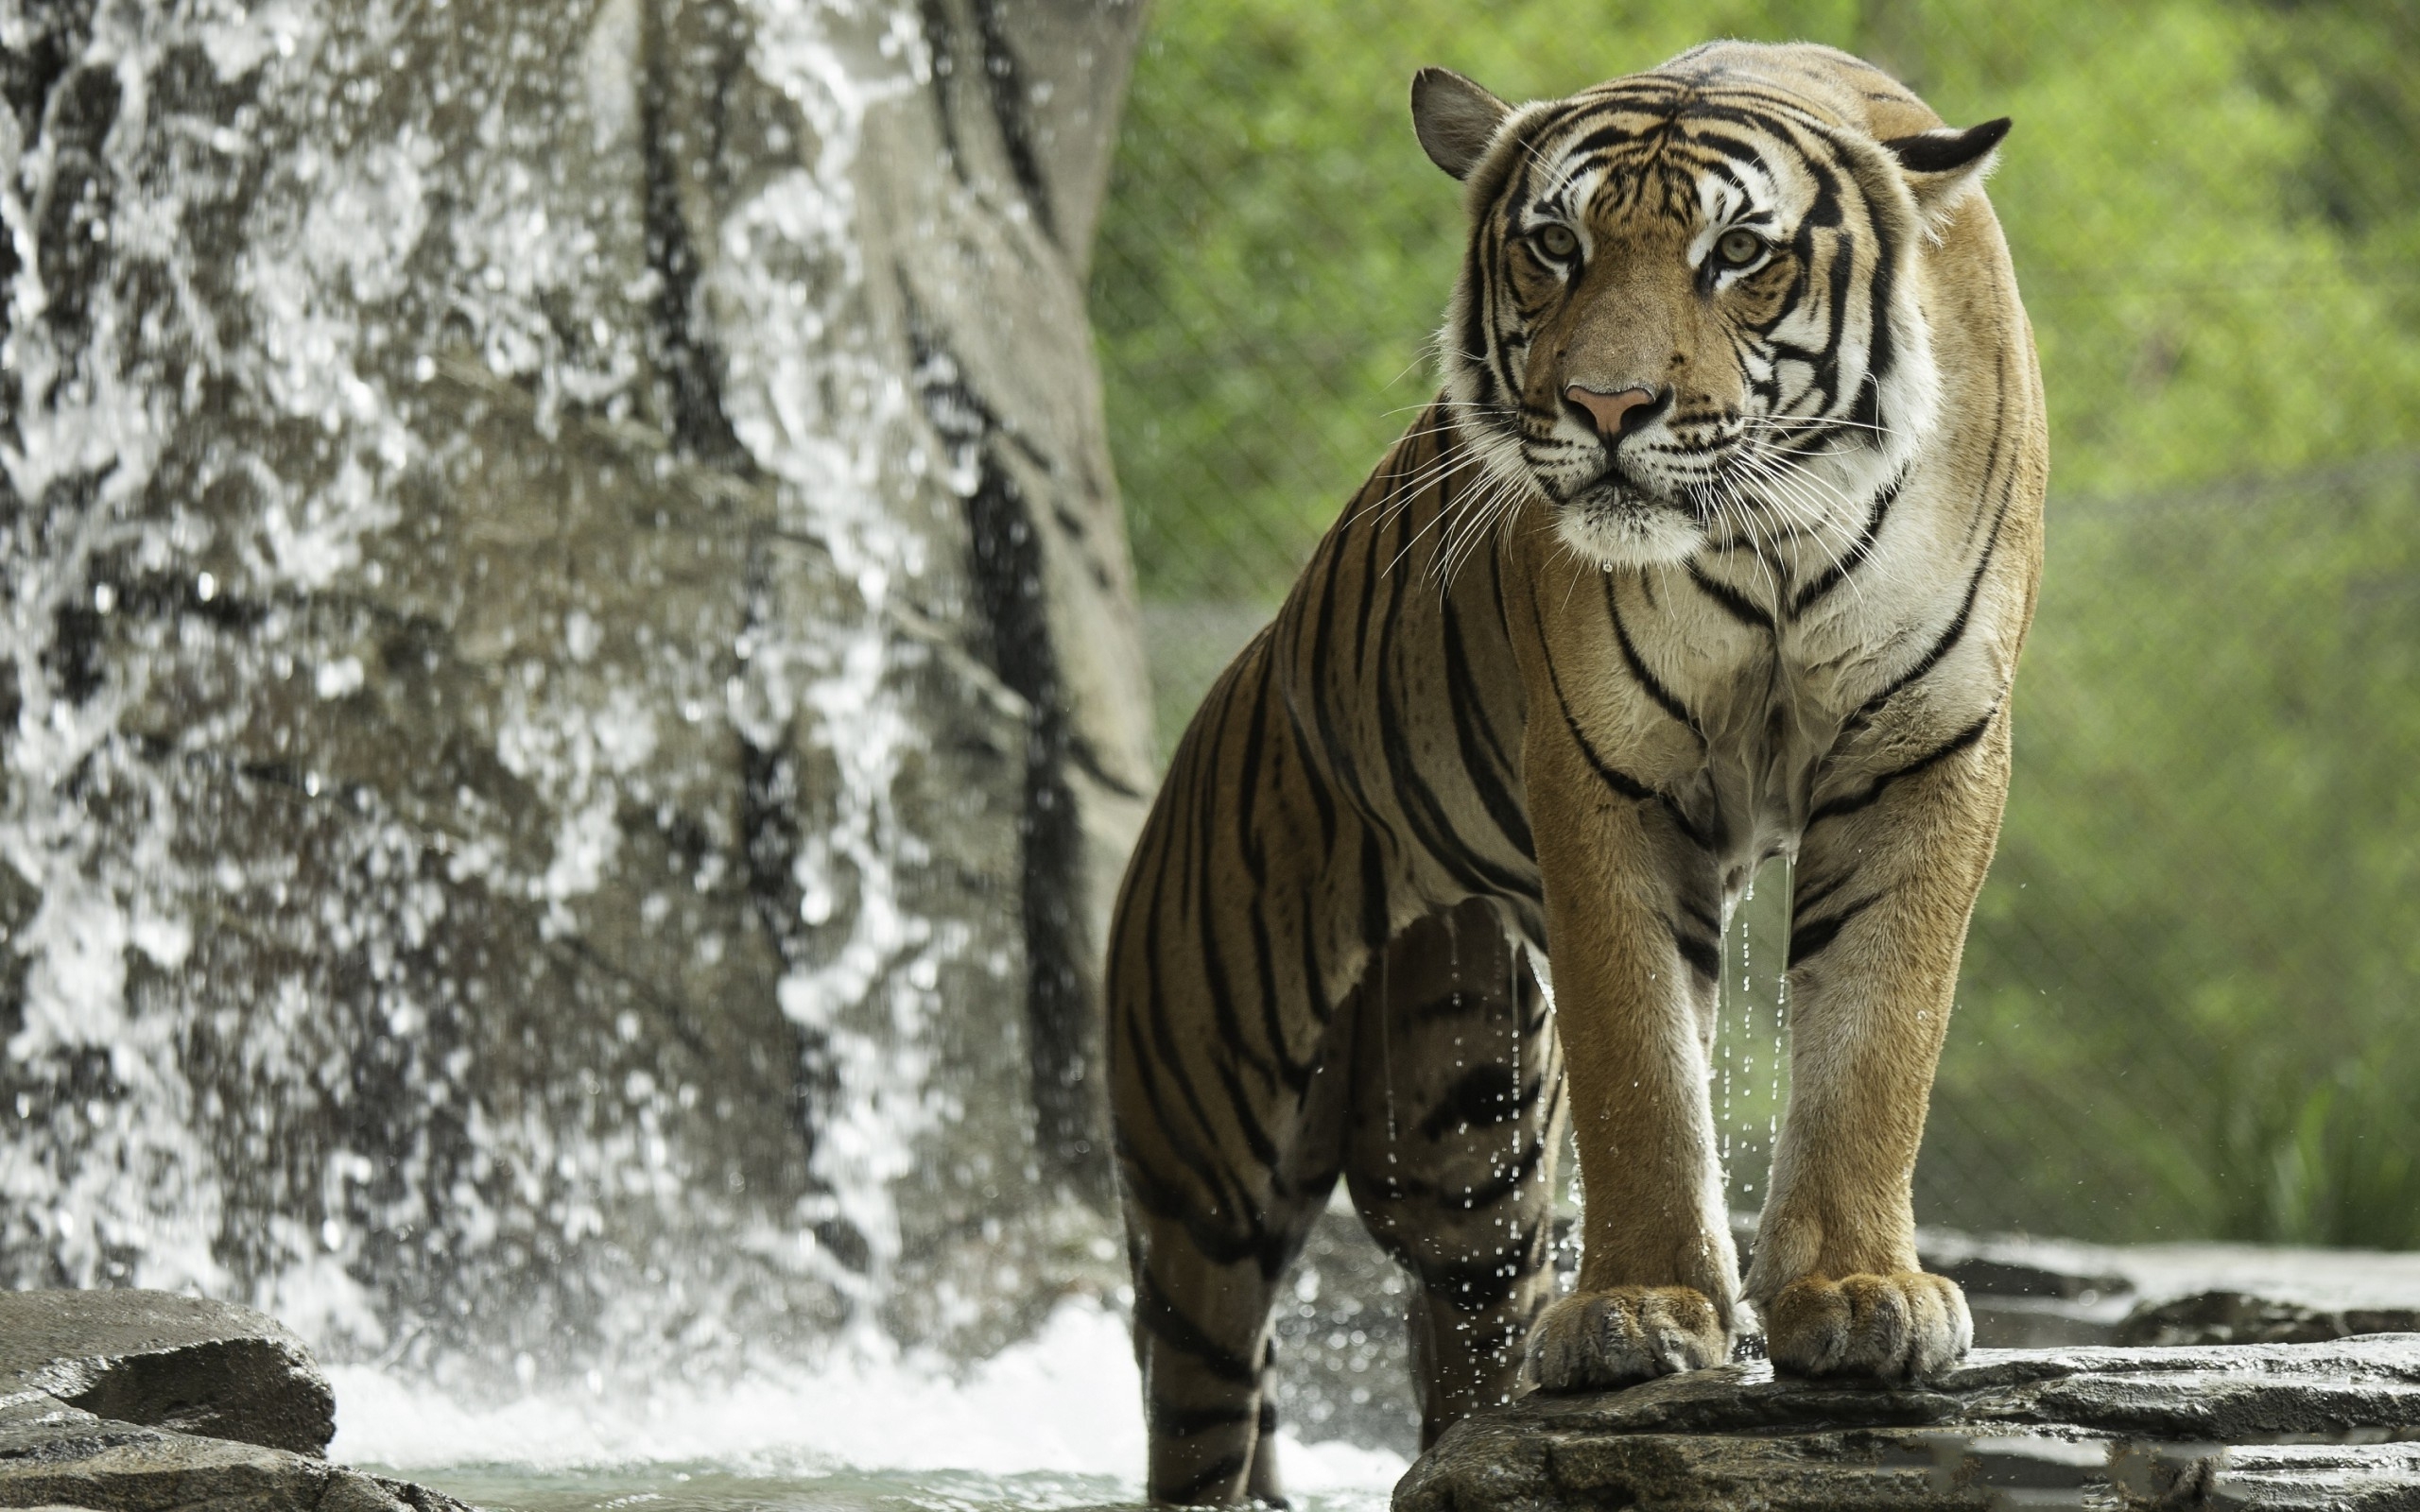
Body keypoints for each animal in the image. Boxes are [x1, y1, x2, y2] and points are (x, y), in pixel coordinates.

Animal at [1108, 41, 2042, 1500]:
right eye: (1555, 246)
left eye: (1738, 253)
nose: (1606, 408)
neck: (1772, 538)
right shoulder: (1607, 775)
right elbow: (1640, 1062)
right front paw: (1640, 1312)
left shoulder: (1923, 753)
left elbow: (1878, 1035)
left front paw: (1856, 1294)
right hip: (1203, 1147)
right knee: (1202, 1407)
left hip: (1464, 1138)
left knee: (1458, 1343)